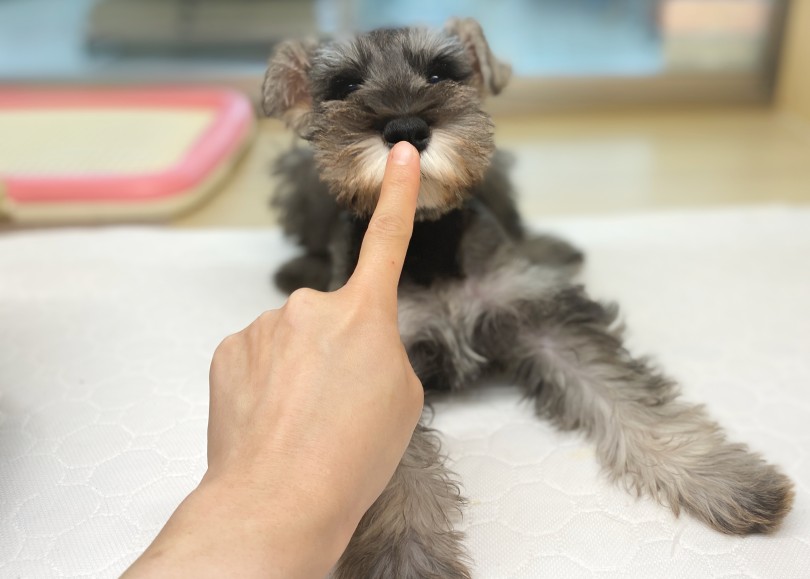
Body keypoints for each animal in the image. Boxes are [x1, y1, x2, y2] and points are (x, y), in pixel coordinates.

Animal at [262, 19, 792, 579]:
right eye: (344, 86)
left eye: (441, 73)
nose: (406, 127)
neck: (428, 240)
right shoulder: (380, 364)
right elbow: (393, 479)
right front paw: (405, 562)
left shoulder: (545, 323)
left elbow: (620, 392)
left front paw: (721, 475)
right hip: (300, 178)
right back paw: (298, 271)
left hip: (497, 175)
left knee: (517, 224)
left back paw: (549, 249)